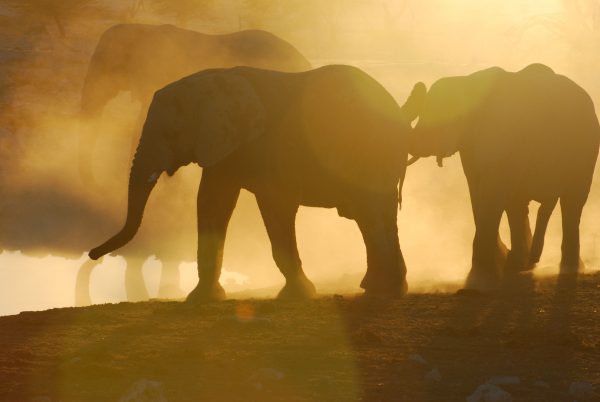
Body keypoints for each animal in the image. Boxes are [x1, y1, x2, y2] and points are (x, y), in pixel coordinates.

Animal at [89, 63, 422, 302]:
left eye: (172, 133)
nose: (92, 253)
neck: (214, 79)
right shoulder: (224, 146)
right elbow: (211, 202)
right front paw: (203, 299)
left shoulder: (270, 146)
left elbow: (276, 205)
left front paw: (298, 295)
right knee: (376, 217)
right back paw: (384, 289)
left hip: (371, 152)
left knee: (371, 214)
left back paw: (381, 291)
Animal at [408, 62, 600, 288]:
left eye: (449, 116)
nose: (418, 86)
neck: (470, 83)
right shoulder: (472, 145)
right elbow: (480, 192)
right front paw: (502, 268)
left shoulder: (507, 136)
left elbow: (494, 194)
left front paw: (479, 281)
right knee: (520, 203)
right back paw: (521, 265)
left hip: (586, 150)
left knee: (573, 203)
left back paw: (567, 268)